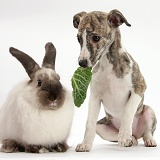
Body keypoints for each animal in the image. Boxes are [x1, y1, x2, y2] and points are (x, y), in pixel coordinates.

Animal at [73, 9, 157, 152]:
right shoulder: (94, 97)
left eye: (96, 37)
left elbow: (128, 110)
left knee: (147, 132)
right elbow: (89, 123)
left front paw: (124, 135)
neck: (108, 65)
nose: (82, 63)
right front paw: (85, 144)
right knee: (130, 137)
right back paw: (131, 140)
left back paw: (146, 139)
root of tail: (136, 132)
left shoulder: (139, 87)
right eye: (78, 39)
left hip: (148, 111)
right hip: (101, 127)